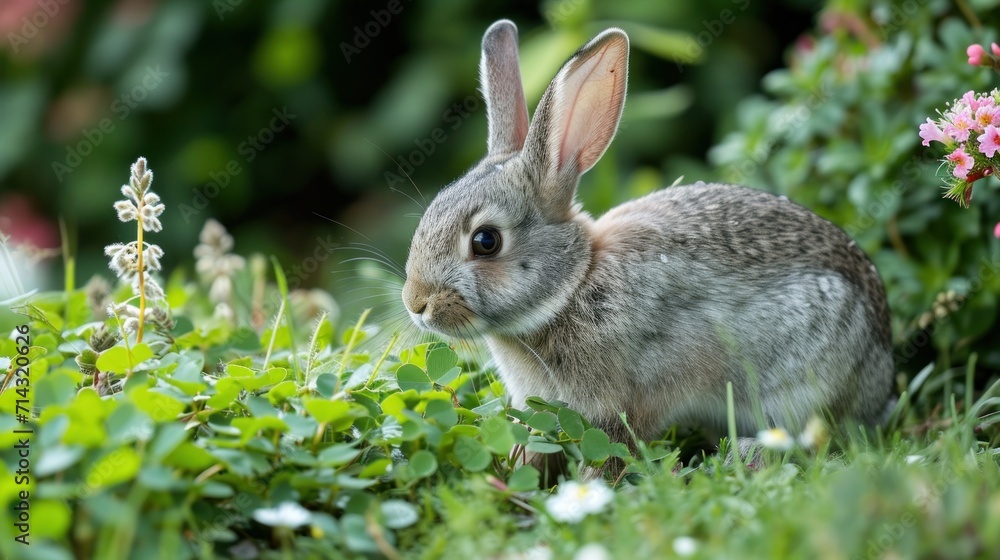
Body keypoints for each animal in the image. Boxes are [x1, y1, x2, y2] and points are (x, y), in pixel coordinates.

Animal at [401, 20, 894, 468]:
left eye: (486, 241)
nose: (416, 302)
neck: (573, 284)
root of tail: (882, 368)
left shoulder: (630, 399)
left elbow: (613, 446)